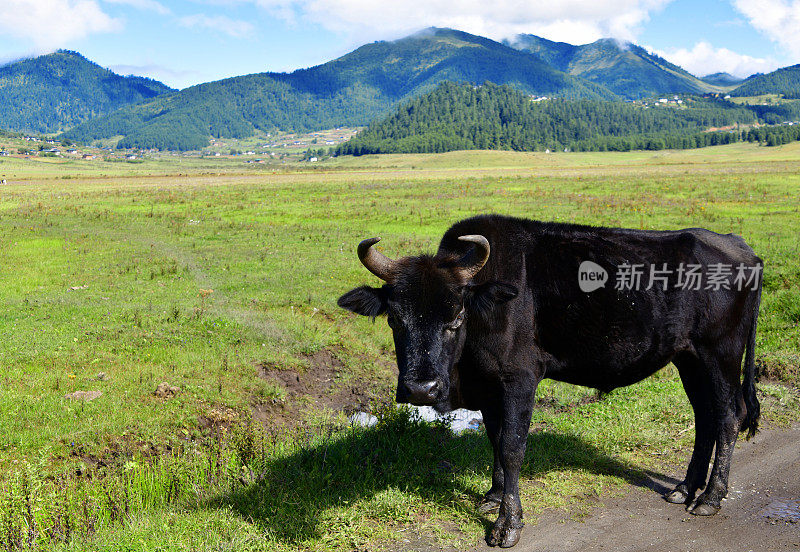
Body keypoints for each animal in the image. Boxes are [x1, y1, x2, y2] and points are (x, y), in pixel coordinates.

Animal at [336, 216, 764, 548]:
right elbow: (494, 439)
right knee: (705, 418)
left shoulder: (520, 379)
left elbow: (512, 447)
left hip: (720, 355)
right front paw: (492, 497)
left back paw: (711, 497)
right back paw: (684, 489)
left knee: (729, 416)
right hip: (688, 358)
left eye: (455, 317)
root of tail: (740, 247)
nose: (420, 390)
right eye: (394, 319)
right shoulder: (490, 389)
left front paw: (507, 525)